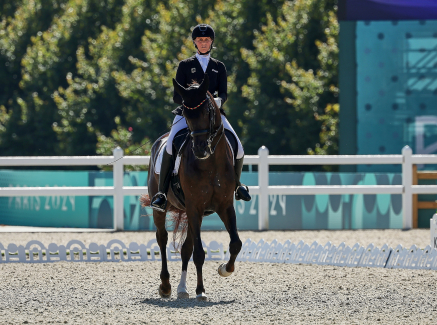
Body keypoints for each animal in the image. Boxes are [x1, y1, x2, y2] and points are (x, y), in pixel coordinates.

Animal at [145, 74, 244, 300]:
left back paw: (182, 289)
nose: (200, 150)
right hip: (164, 208)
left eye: (207, 111)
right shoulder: (194, 206)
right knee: (162, 239)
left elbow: (235, 243)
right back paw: (166, 286)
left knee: (185, 248)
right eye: (185, 113)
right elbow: (199, 253)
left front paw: (224, 269)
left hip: (191, 213)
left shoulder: (225, 206)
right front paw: (201, 291)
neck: (211, 164)